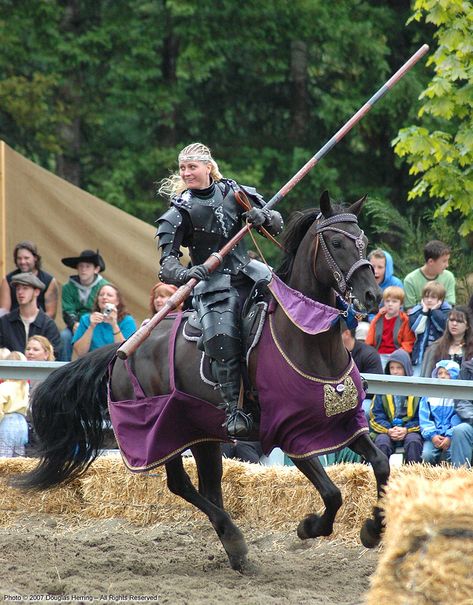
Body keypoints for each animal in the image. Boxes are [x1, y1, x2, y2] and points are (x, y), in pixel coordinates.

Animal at [15, 192, 390, 572]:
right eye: (337, 242)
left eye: (363, 241)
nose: (372, 296)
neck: (305, 336)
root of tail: (121, 352)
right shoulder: (293, 433)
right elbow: (333, 493)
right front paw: (309, 526)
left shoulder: (344, 422)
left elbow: (381, 464)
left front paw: (373, 529)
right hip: (163, 432)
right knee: (180, 484)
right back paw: (234, 538)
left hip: (203, 433)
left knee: (208, 488)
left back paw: (234, 547)